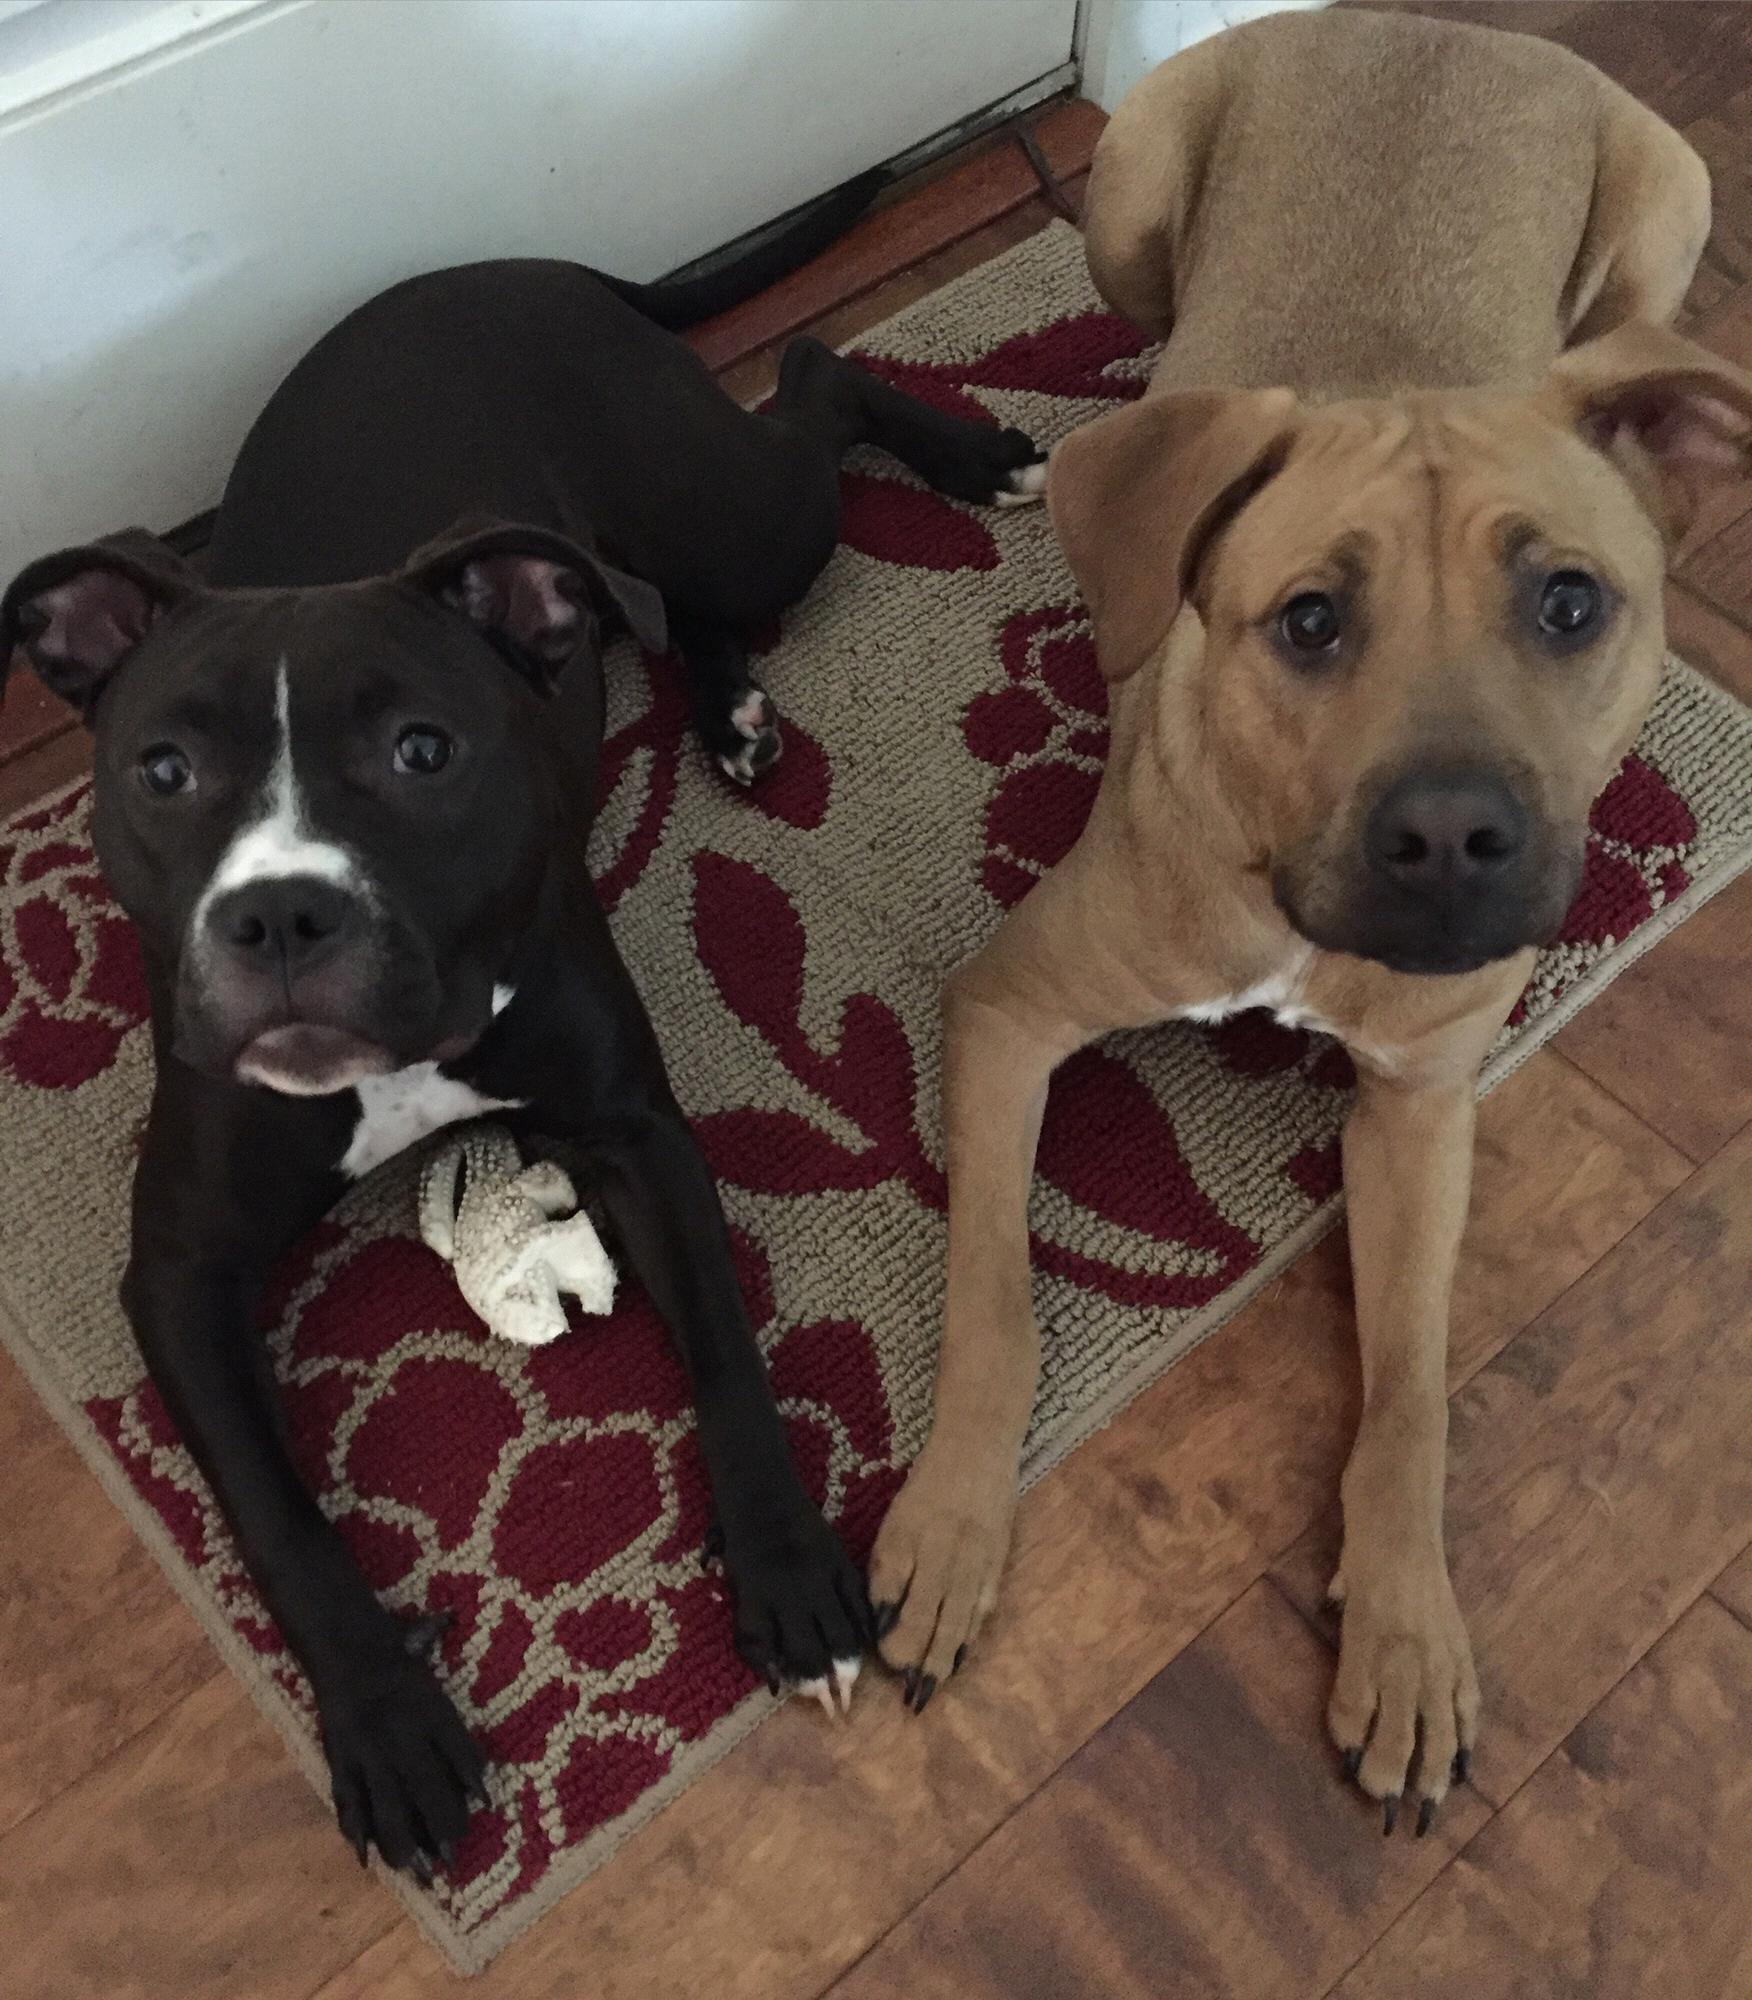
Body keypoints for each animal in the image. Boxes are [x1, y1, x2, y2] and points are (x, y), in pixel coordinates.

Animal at [0, 196, 1044, 1878]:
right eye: (162, 771)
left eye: (424, 751)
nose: (280, 914)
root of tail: (523, 263)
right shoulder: (181, 1277)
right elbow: (280, 1522)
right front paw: (386, 1722)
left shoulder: (635, 1139)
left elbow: (731, 1363)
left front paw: (789, 1575)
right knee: (671, 600)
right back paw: (731, 707)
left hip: (730, 508)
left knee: (807, 396)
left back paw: (972, 461)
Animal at [869, 7, 1752, 1834]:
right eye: (1308, 621)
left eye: (1572, 603)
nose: (1451, 838)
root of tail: (1435, 23)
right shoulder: (1007, 1010)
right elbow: (996, 1296)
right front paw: (951, 1526)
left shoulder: (1418, 1113)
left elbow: (1412, 1392)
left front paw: (1408, 1632)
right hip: (1132, 194)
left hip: (1665, 203)